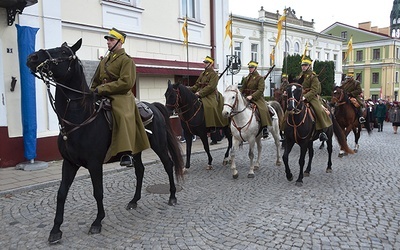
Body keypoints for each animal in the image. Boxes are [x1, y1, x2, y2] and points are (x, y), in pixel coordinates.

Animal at [26, 39, 184, 244]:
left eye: (63, 52)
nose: (32, 57)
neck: (80, 118)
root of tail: (153, 107)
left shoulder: (94, 164)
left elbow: (98, 192)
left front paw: (97, 222)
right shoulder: (69, 163)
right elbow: (61, 194)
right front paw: (55, 229)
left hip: (159, 146)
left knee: (168, 165)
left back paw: (172, 196)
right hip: (136, 150)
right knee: (140, 170)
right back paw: (134, 200)